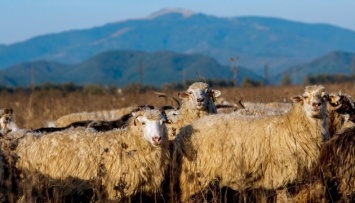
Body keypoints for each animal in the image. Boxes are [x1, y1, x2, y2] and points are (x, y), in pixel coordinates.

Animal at [174, 84, 332, 201]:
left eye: (325, 97)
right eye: (305, 97)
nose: (316, 104)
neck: (291, 125)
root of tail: (182, 132)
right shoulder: (282, 175)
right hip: (192, 177)